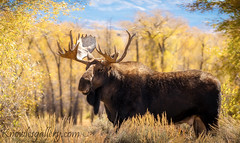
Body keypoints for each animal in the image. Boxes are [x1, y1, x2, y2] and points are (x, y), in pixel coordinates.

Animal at [57, 30, 221, 136]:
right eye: (86, 67)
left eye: (100, 69)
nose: (82, 83)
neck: (111, 101)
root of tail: (219, 83)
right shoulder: (116, 120)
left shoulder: (133, 118)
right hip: (199, 121)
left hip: (212, 118)